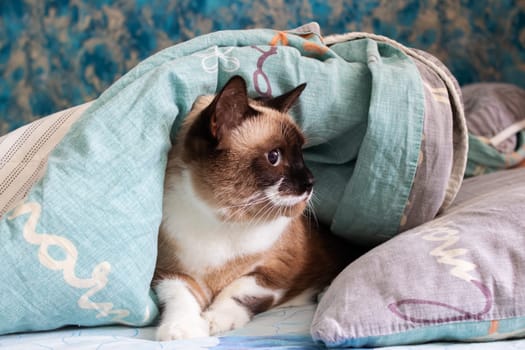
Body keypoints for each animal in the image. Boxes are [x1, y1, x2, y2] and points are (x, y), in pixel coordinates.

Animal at [151, 75, 356, 340]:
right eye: (274, 157)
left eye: (302, 154)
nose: (311, 182)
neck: (223, 221)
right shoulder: (169, 271)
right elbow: (180, 297)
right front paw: (181, 331)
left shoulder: (276, 271)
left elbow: (240, 290)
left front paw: (214, 321)